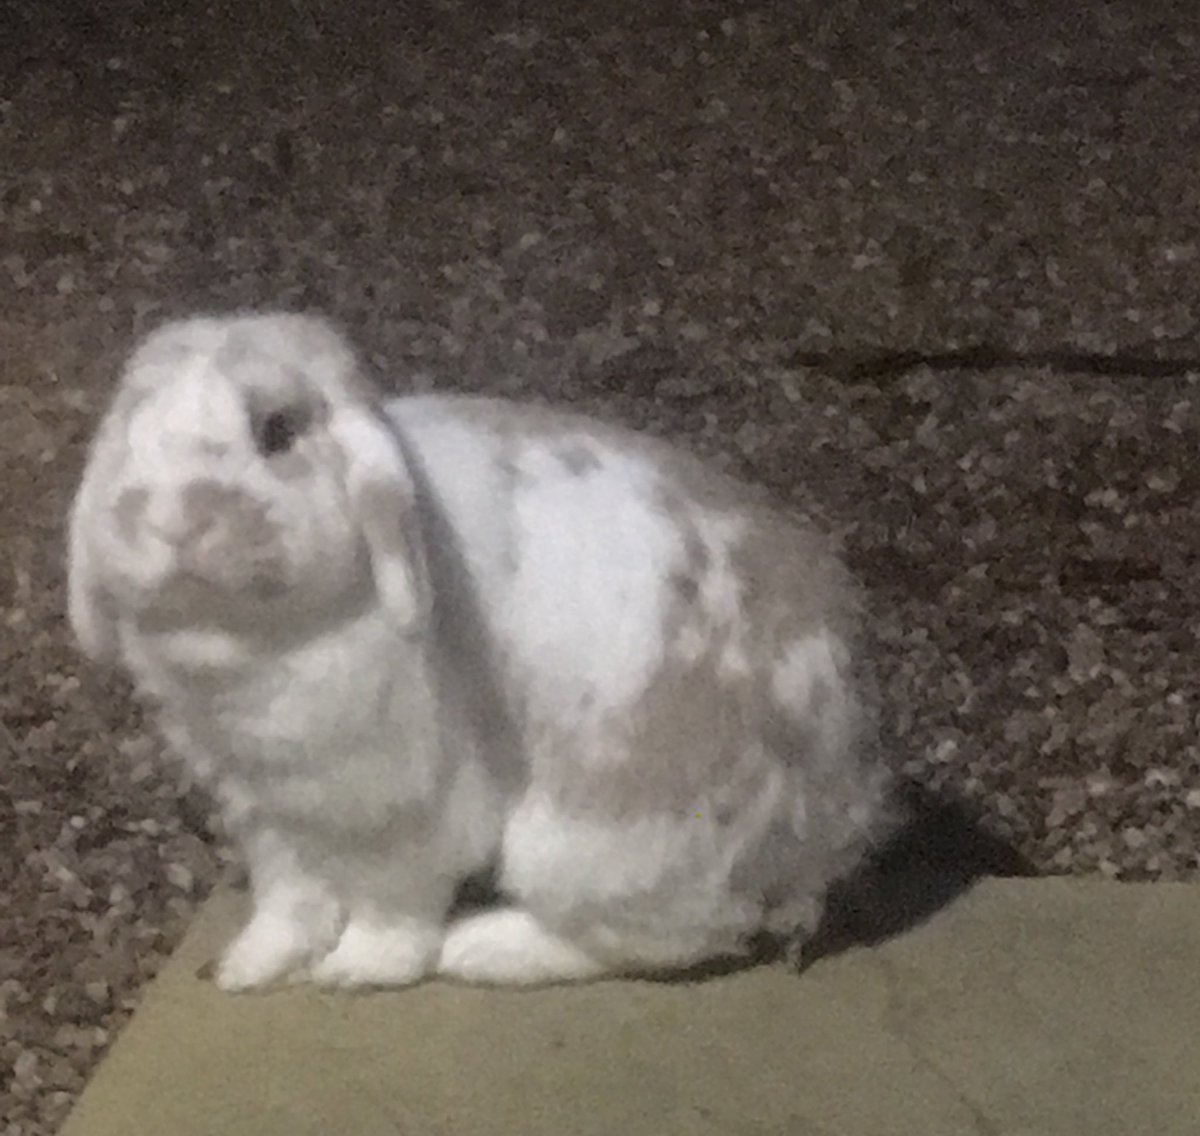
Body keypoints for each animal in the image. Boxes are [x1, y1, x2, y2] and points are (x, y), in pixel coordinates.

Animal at [66, 311, 898, 991]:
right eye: (136, 434)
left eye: (276, 432)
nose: (175, 524)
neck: (254, 638)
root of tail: (839, 808)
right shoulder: (267, 804)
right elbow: (288, 899)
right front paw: (251, 967)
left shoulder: (397, 806)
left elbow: (393, 905)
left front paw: (356, 971)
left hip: (592, 846)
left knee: (678, 938)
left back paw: (481, 948)